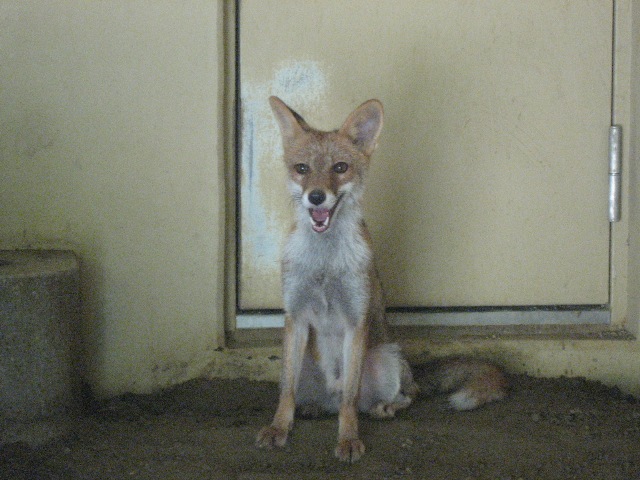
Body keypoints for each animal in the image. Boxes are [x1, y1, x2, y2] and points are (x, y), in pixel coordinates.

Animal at [254, 96, 504, 462]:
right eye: (302, 169)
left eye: (340, 168)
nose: (316, 196)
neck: (325, 264)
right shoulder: (295, 317)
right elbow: (286, 393)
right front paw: (278, 428)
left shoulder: (355, 319)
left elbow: (349, 399)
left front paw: (348, 439)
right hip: (304, 363)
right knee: (316, 399)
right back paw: (314, 408)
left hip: (387, 359)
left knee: (403, 394)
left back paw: (384, 408)